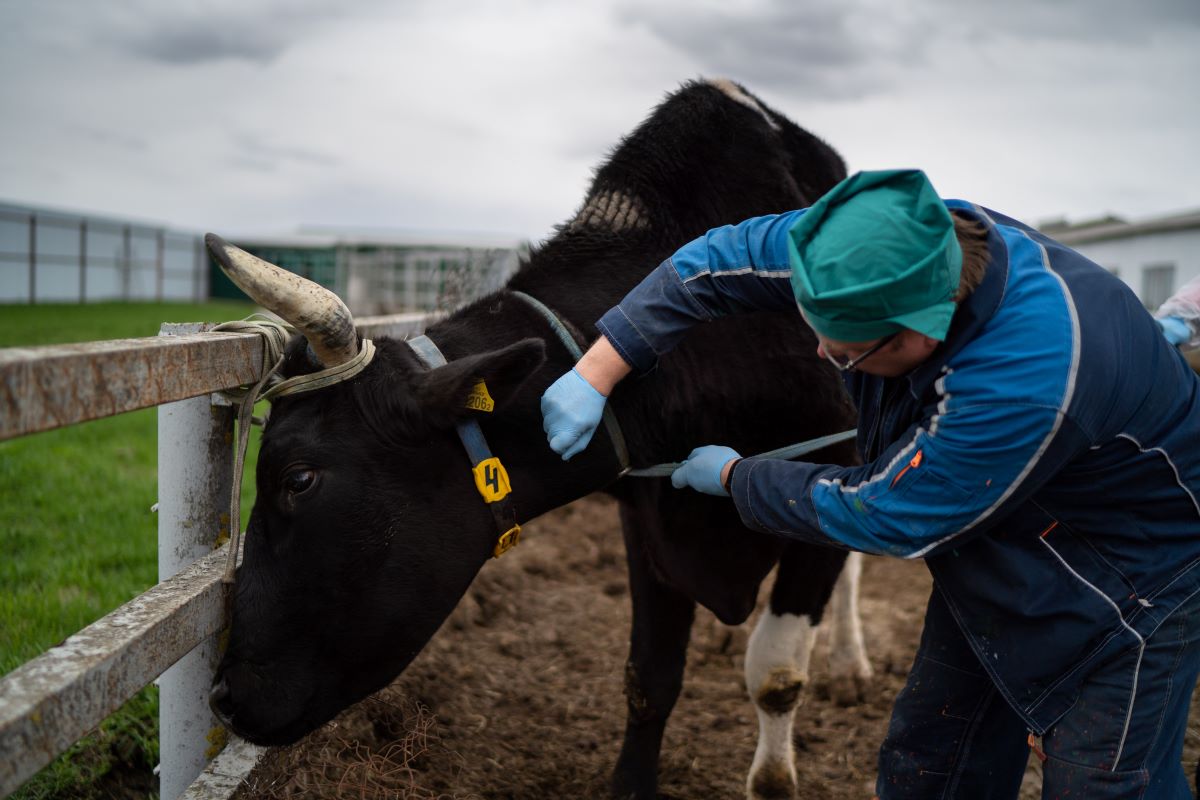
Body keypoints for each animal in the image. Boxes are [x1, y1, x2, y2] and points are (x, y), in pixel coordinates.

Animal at [211, 76, 873, 800]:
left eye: (298, 479)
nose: (221, 698)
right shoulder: (648, 516)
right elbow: (649, 679)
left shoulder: (825, 472)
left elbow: (778, 676)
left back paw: (850, 662)